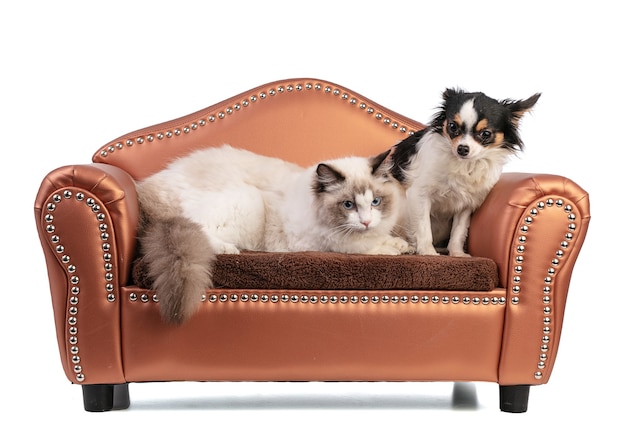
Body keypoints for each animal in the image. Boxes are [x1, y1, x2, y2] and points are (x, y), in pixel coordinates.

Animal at [135, 145, 410, 326]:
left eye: (376, 202)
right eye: (348, 205)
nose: (366, 221)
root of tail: (148, 192)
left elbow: (385, 239)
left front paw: (402, 245)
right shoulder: (324, 242)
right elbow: (362, 246)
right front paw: (391, 249)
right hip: (248, 201)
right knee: (201, 228)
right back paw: (228, 249)